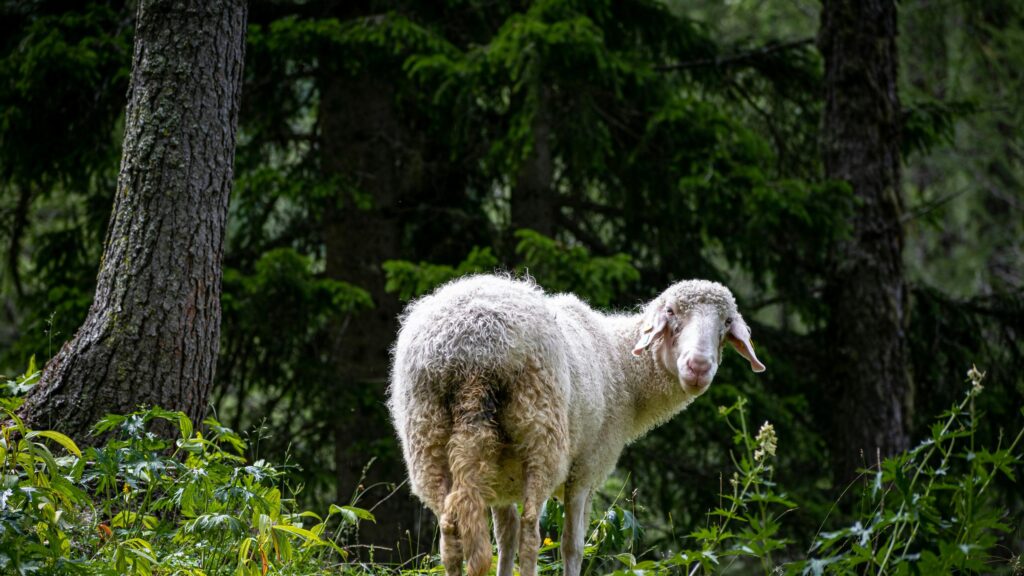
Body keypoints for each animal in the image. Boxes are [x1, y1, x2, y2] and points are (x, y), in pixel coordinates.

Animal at [387, 274, 765, 576]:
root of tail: (470, 349)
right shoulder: (586, 468)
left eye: (726, 323)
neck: (622, 370)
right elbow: (572, 544)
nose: (698, 366)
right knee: (531, 533)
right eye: (671, 313)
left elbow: (504, 540)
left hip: (429, 437)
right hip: (542, 436)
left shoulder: (501, 481)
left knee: (451, 532)